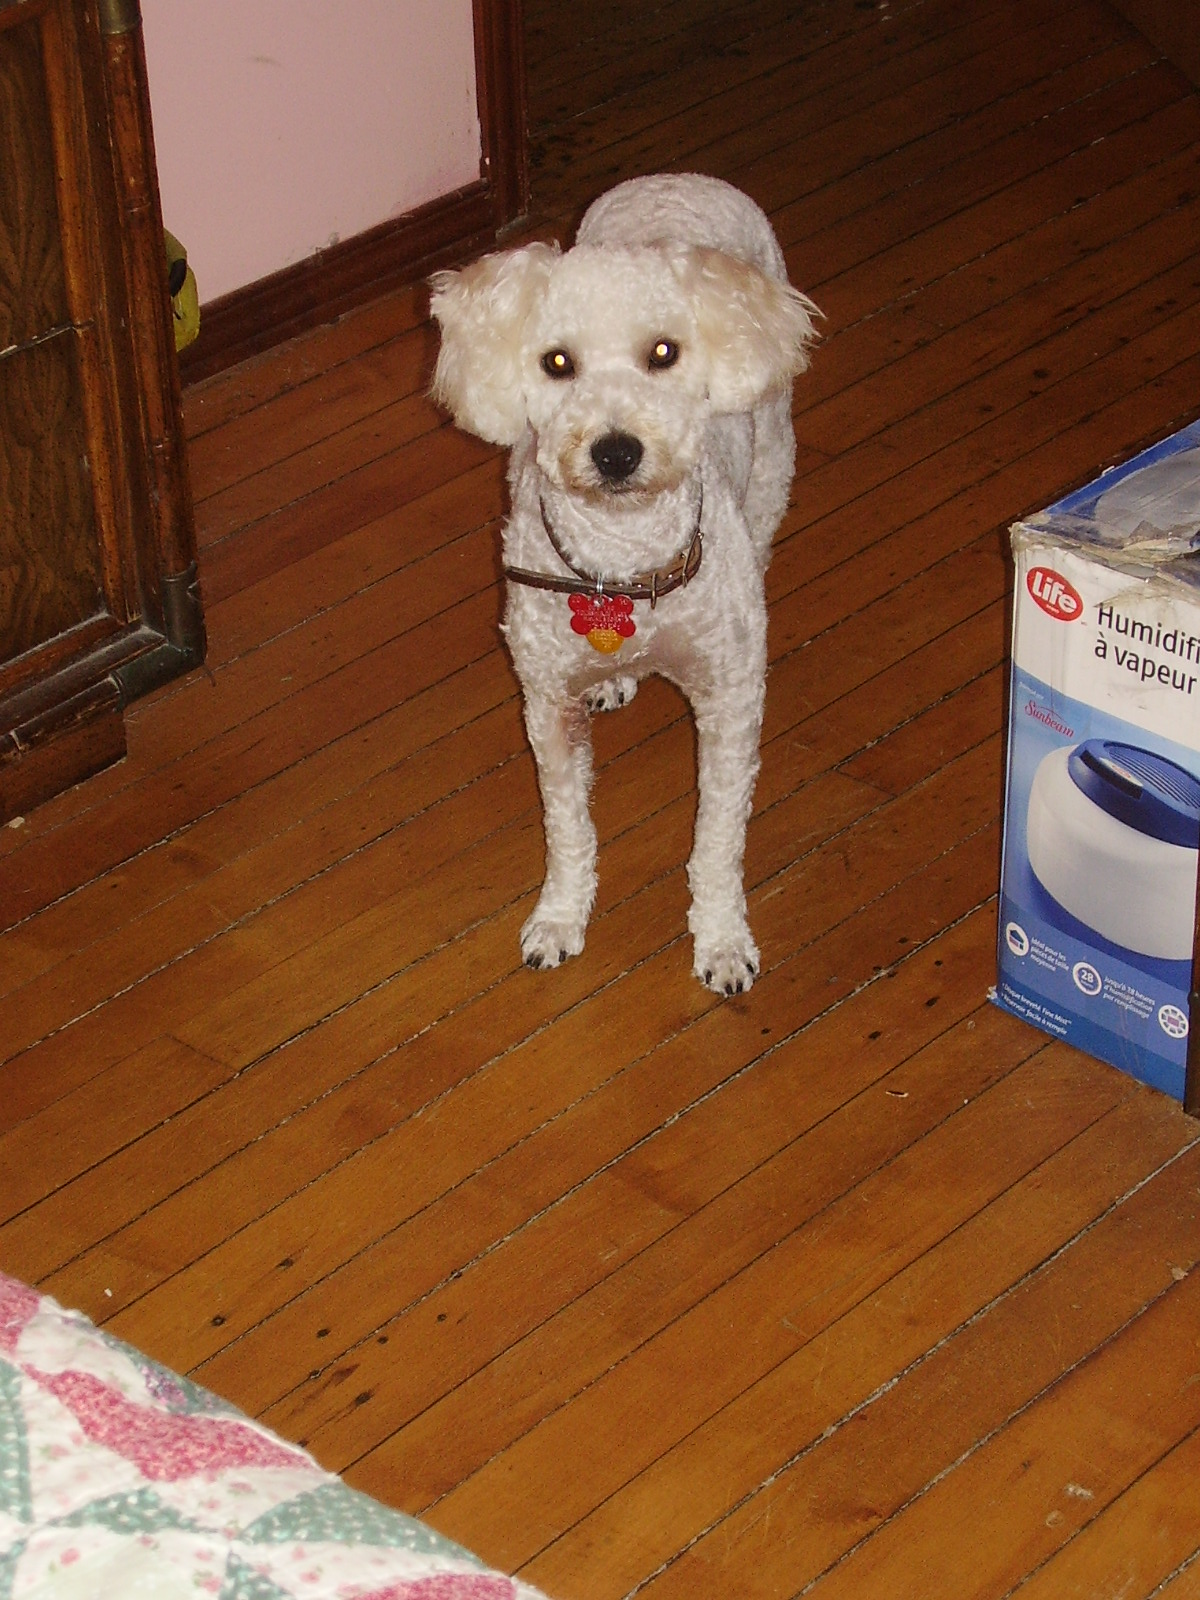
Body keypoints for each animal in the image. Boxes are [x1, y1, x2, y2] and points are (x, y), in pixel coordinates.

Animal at [429, 173, 819, 993]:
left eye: (663, 352)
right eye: (556, 363)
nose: (616, 452)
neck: (623, 567)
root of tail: (677, 178)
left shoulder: (729, 705)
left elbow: (717, 840)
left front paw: (722, 940)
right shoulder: (547, 707)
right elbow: (568, 827)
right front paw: (559, 918)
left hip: (773, 462)